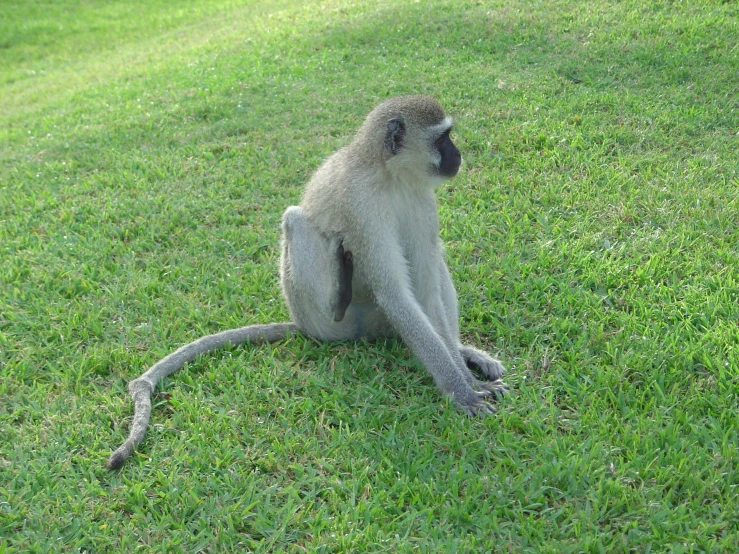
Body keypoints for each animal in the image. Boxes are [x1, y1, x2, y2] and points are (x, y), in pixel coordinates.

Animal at [105, 94, 508, 466]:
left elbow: (425, 287)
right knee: (296, 221)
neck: (390, 176)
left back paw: (465, 352)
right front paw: (462, 391)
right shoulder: (360, 203)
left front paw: (466, 375)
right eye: (443, 139)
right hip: (324, 318)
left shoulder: (422, 200)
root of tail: (303, 324)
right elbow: (395, 292)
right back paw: (338, 295)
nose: (458, 155)